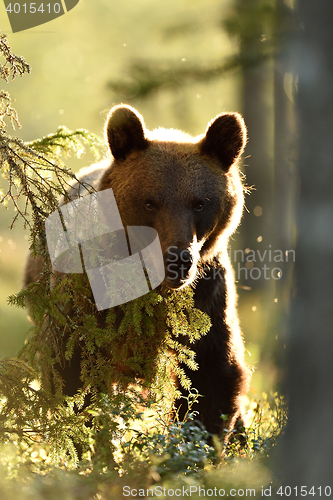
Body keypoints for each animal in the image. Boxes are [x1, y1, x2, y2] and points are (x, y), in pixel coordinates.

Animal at [24, 104, 249, 438]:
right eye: (149, 202)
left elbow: (212, 376)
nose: (177, 259)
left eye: (199, 203)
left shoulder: (205, 299)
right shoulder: (88, 300)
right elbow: (73, 372)